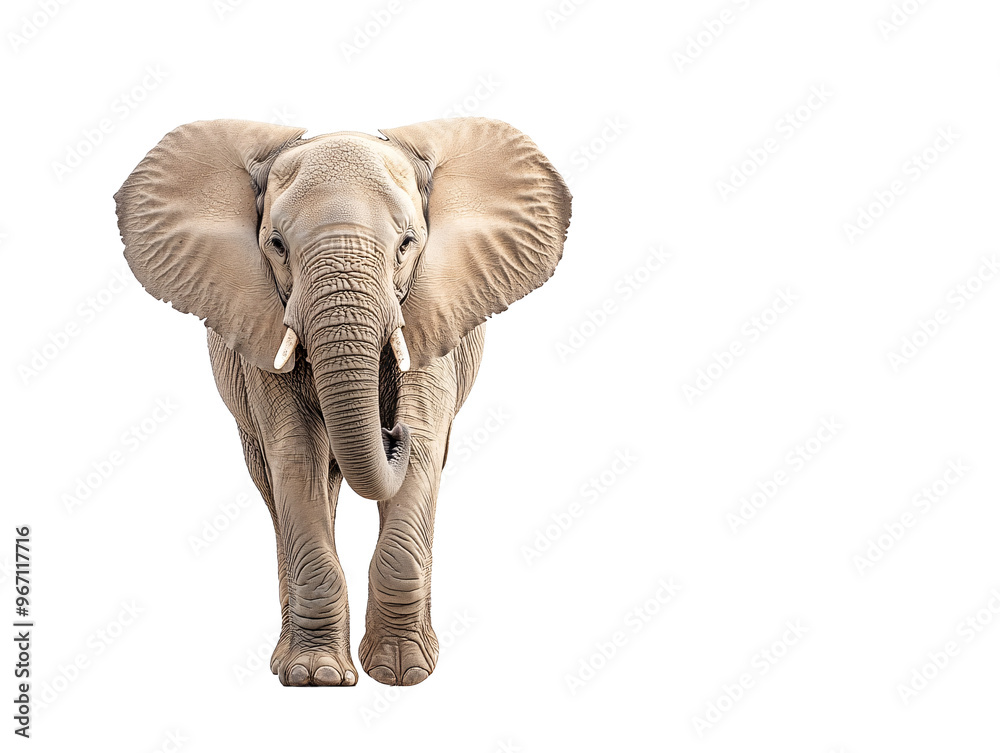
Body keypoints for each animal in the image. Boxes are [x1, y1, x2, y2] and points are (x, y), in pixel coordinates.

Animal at [114, 117, 571, 686]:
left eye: (407, 243)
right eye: (277, 245)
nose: (389, 431)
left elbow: (423, 451)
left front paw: (403, 673)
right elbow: (297, 455)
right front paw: (317, 678)